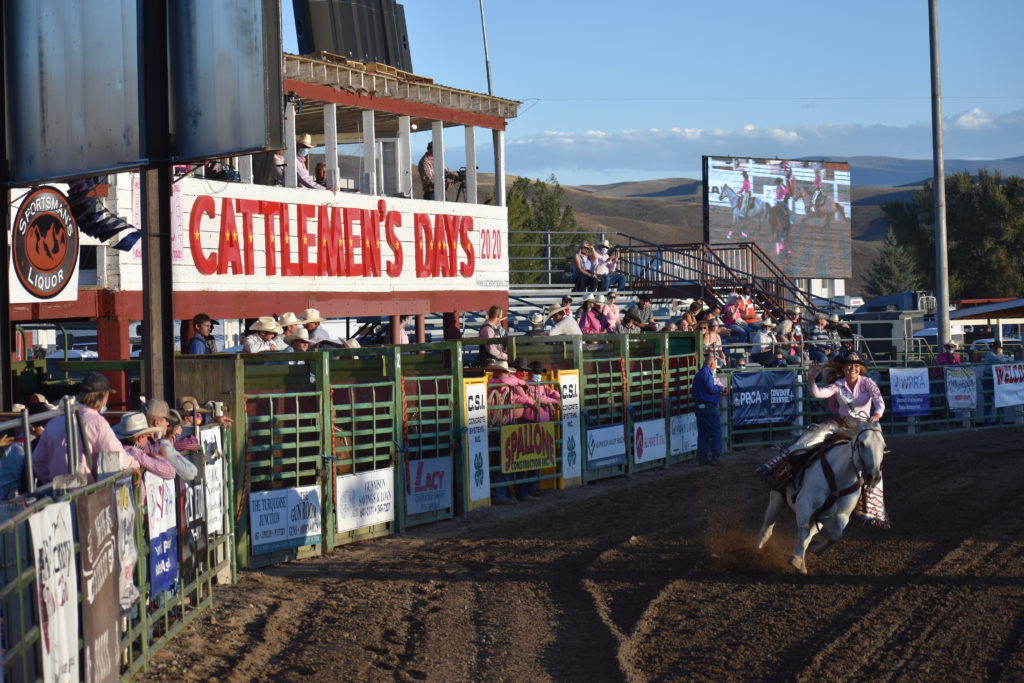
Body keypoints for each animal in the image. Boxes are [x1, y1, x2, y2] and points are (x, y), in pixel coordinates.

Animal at [757, 423, 884, 573]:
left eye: (883, 446)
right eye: (862, 444)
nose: (874, 477)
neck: (839, 476)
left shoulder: (839, 516)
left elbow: (835, 536)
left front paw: (814, 549)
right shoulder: (805, 504)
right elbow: (804, 530)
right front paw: (797, 560)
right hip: (777, 499)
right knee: (767, 527)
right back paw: (758, 549)